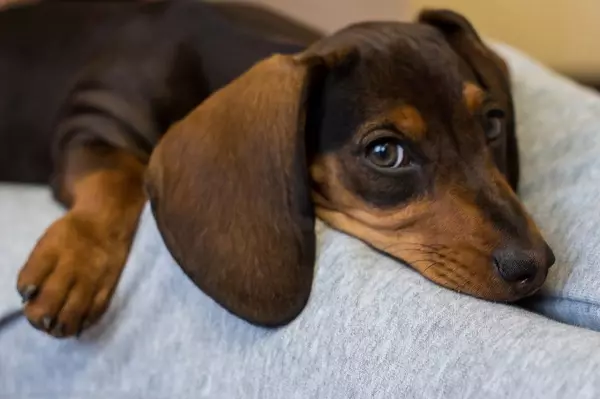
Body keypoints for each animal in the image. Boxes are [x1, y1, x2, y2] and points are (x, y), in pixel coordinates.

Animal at [0, 0, 556, 340]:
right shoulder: (92, 120)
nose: (535, 265)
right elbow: (117, 177)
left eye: (492, 123)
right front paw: (74, 263)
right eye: (384, 153)